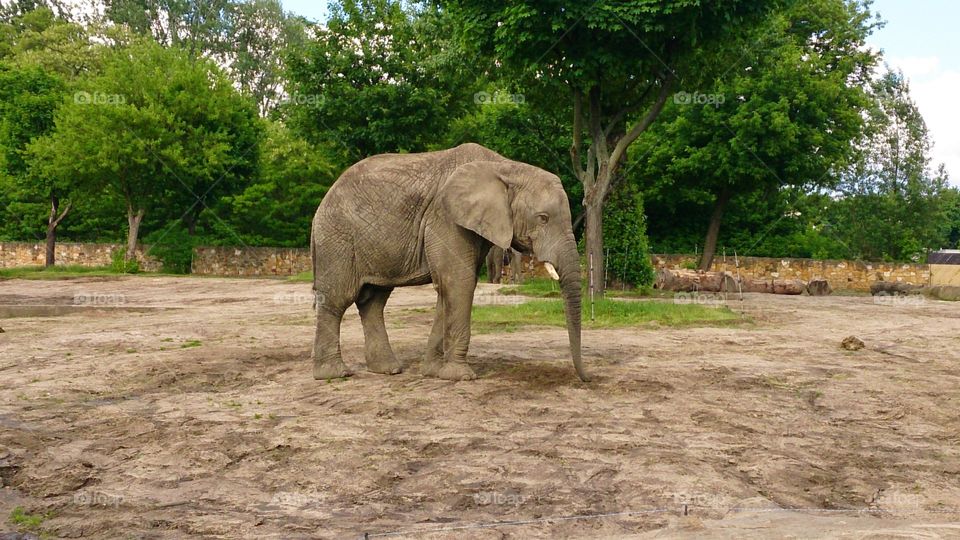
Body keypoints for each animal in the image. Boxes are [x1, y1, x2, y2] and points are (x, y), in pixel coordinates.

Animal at [309, 143, 587, 382]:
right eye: (543, 218)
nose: (586, 378)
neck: (505, 167)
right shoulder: (446, 219)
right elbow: (459, 282)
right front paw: (461, 376)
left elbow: (449, 288)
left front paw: (433, 372)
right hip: (336, 239)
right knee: (337, 299)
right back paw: (334, 374)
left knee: (373, 300)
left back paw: (388, 369)